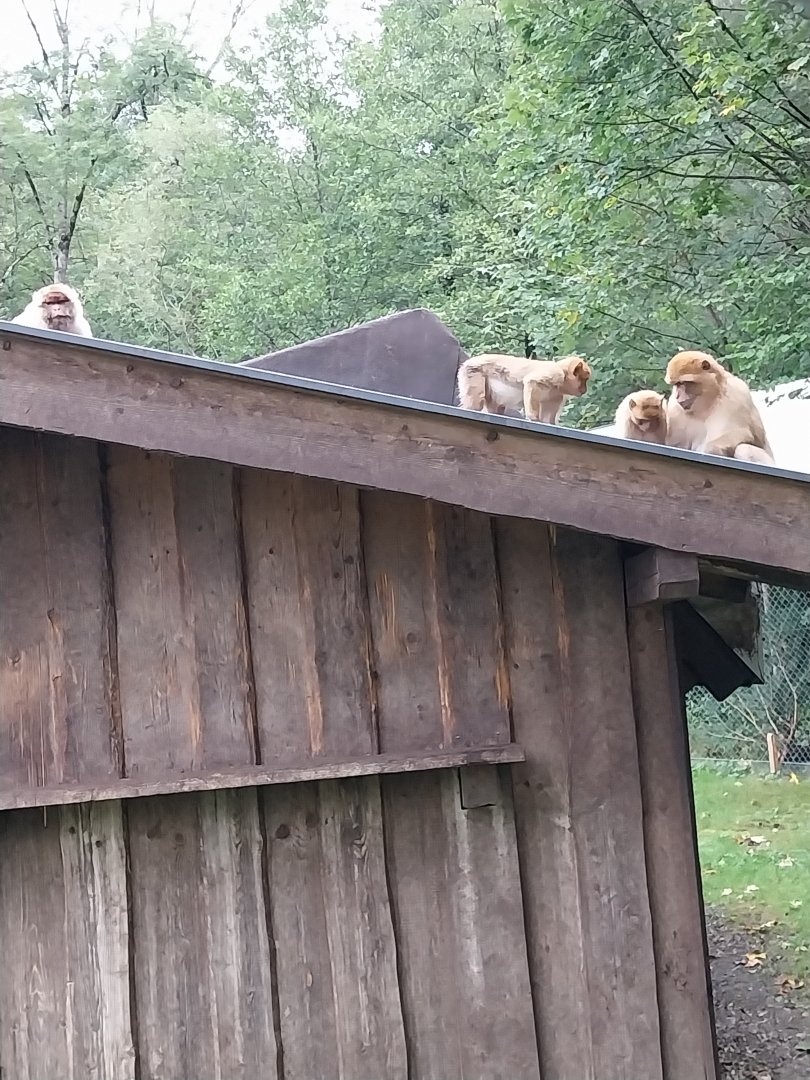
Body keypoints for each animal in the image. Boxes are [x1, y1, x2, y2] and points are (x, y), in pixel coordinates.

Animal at [457, 353, 591, 425]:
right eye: (584, 380)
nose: (584, 389)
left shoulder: (557, 394)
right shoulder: (555, 374)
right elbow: (531, 382)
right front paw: (533, 418)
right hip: (473, 371)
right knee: (476, 403)